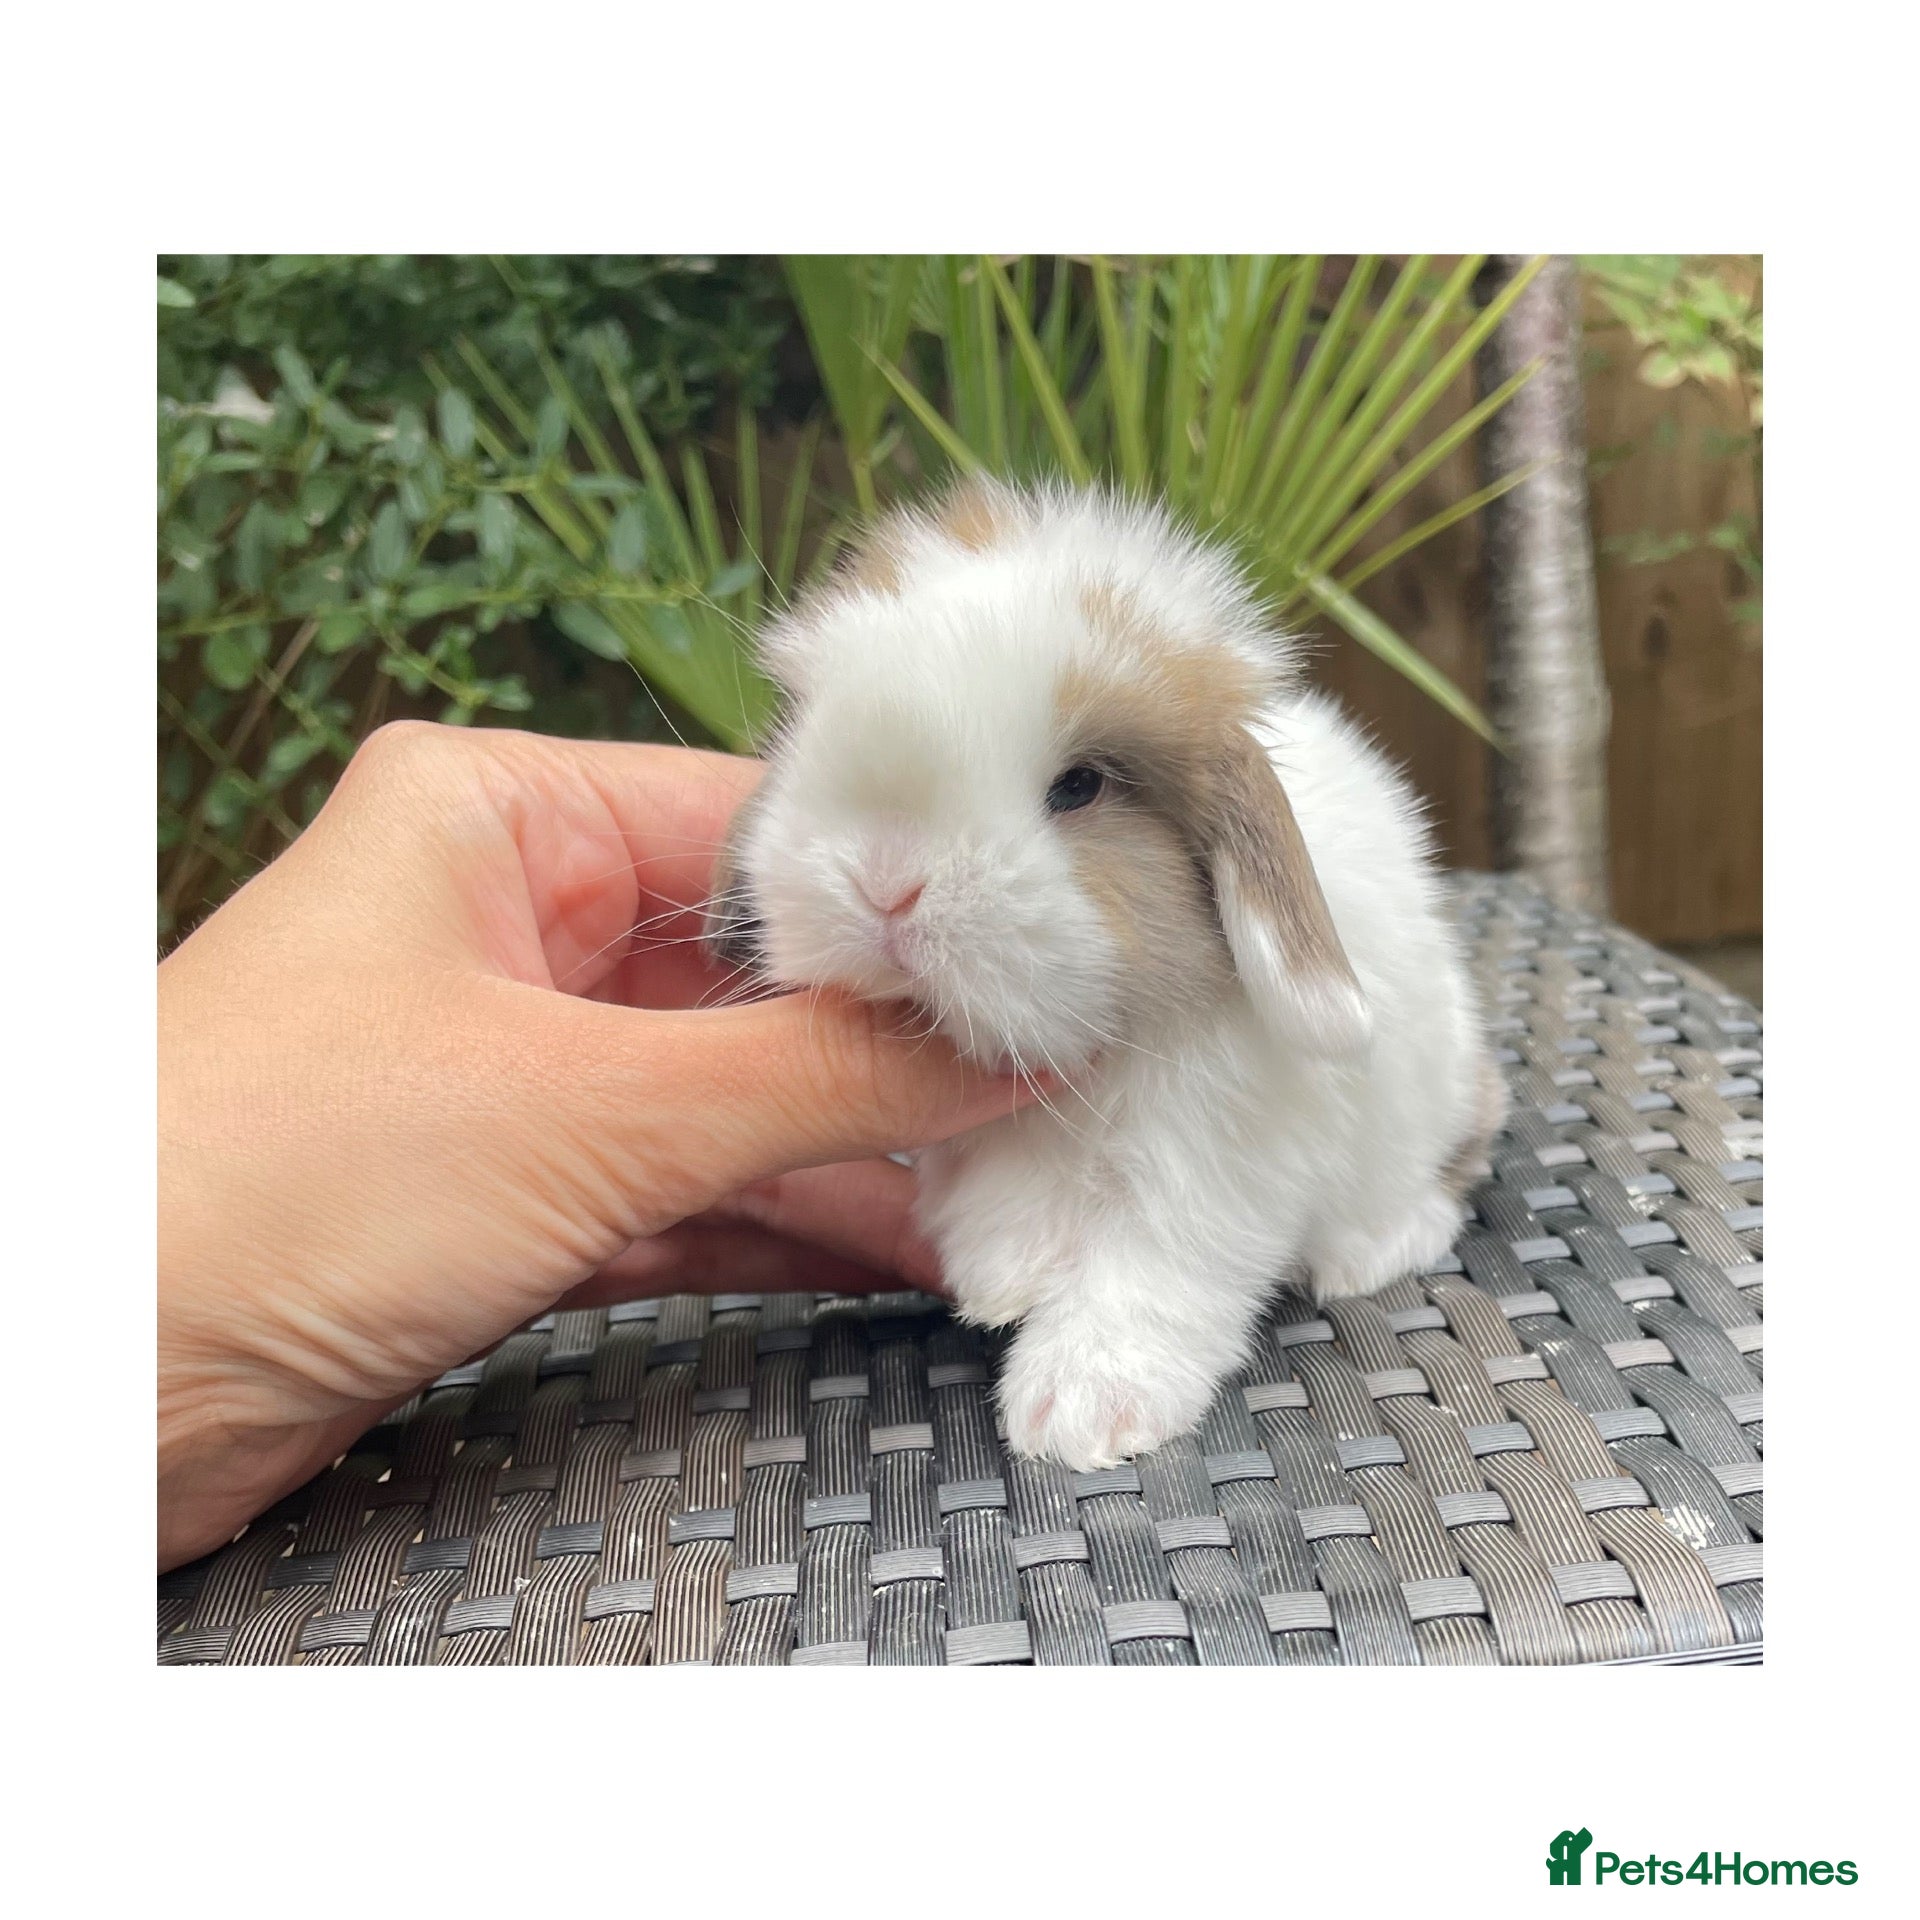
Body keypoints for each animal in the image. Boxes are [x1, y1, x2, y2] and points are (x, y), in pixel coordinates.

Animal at [704, 478, 1506, 1470]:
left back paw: (1370, 1252)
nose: (887, 885)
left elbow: (1150, 1267)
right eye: (805, 732)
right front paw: (1001, 1271)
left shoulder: (1220, 1159)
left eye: (1081, 786)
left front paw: (1082, 1408)